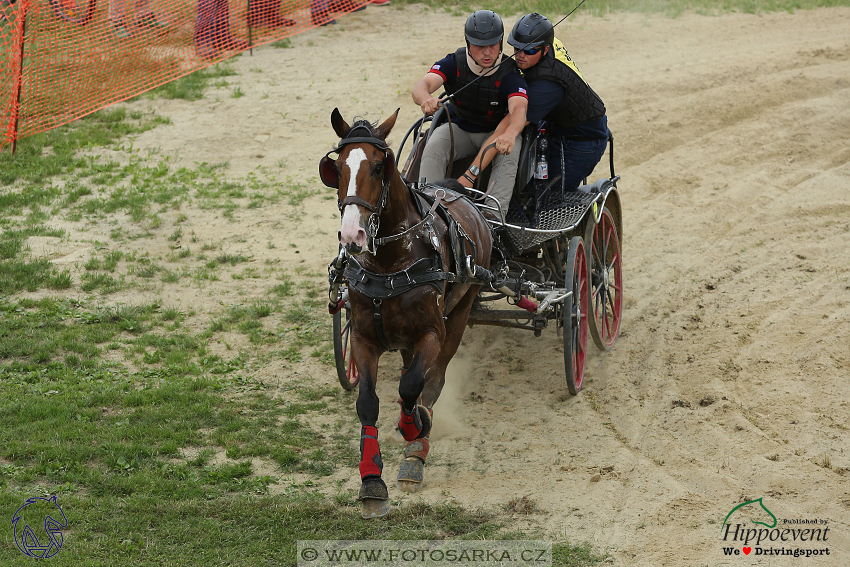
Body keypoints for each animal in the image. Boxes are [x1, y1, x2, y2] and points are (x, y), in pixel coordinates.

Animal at [316, 107, 490, 520]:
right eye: (337, 167)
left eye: (380, 166)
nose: (353, 236)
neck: (391, 262)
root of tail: (459, 192)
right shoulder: (363, 338)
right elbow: (368, 403)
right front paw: (370, 481)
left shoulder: (431, 333)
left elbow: (412, 387)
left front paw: (415, 429)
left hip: (460, 313)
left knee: (433, 381)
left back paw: (417, 450)